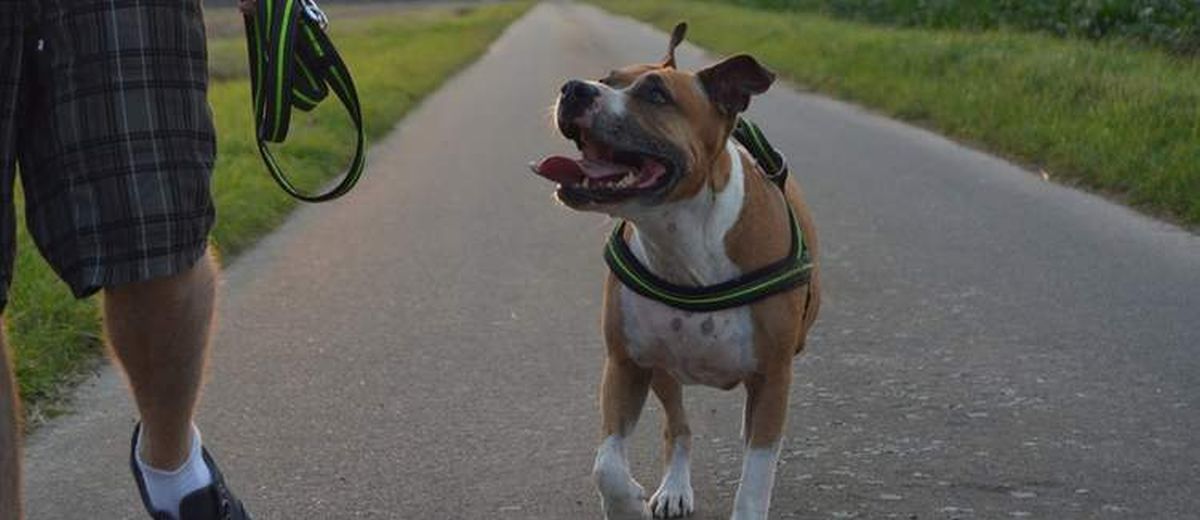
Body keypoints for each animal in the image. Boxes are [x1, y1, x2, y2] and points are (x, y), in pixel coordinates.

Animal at [532, 24, 820, 518]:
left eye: (656, 94)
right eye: (606, 79)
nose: (574, 89)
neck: (681, 242)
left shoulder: (773, 376)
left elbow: (755, 479)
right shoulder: (626, 363)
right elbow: (606, 465)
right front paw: (627, 503)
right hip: (664, 371)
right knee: (678, 427)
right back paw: (673, 488)